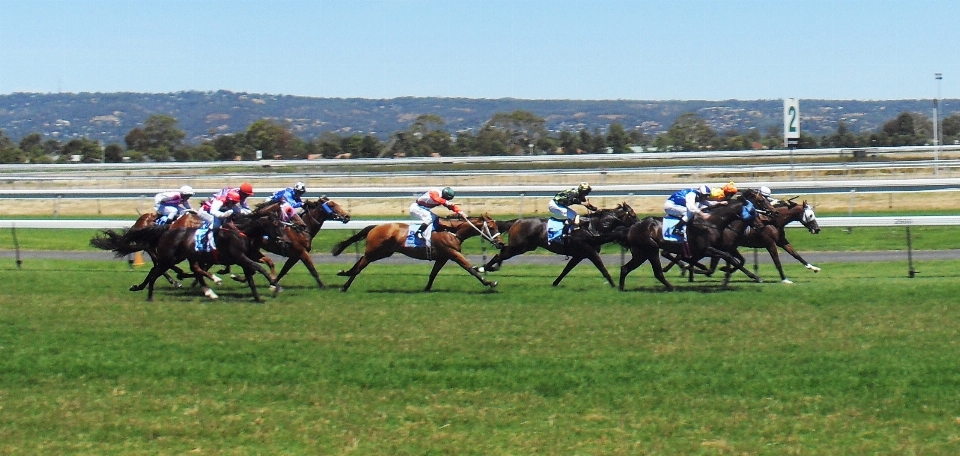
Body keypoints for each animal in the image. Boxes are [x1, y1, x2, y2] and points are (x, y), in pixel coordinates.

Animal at [330, 215, 506, 292]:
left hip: (384, 252)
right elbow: (470, 268)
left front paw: (426, 288)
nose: (501, 243)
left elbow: (433, 274)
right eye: (492, 227)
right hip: (375, 252)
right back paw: (345, 281)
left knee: (360, 263)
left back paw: (345, 278)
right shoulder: (453, 253)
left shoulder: (443, 257)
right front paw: (490, 283)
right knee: (360, 264)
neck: (453, 231)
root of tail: (375, 226)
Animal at [474, 202, 636, 284]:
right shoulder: (590, 252)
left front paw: (554, 283)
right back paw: (482, 268)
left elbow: (566, 270)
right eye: (633, 215)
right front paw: (614, 285)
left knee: (501, 253)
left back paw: (489, 268)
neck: (593, 227)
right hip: (519, 247)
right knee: (499, 255)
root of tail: (517, 221)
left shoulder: (579, 254)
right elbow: (602, 268)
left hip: (524, 247)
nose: (639, 223)